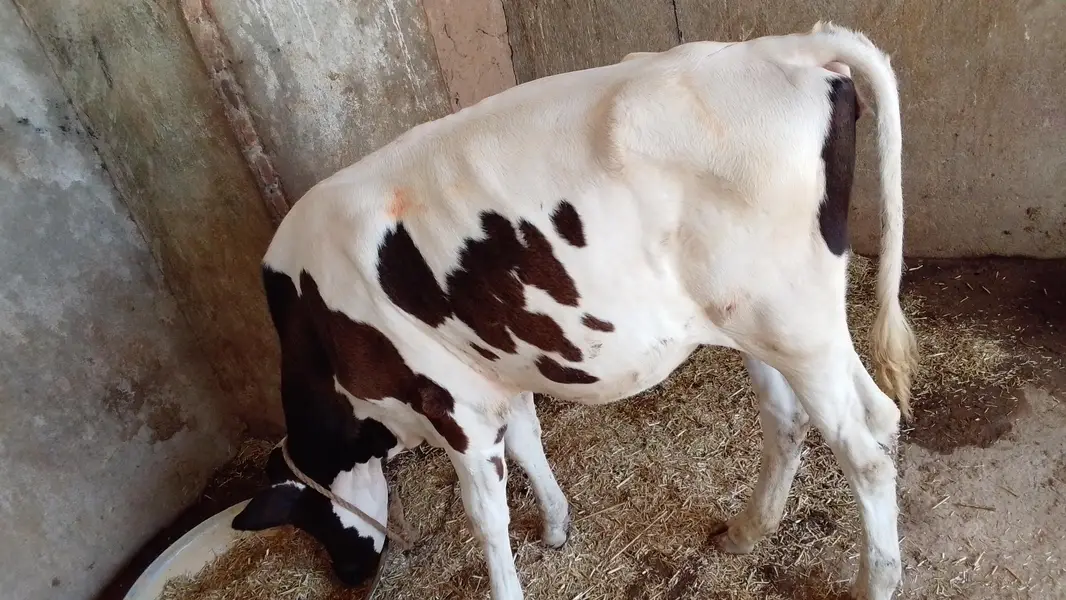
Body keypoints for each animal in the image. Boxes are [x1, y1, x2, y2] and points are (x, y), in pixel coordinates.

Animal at [231, 22, 917, 600]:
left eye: (313, 520)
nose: (350, 575)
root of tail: (791, 46)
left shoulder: (450, 400)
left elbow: (486, 514)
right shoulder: (497, 368)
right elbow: (529, 441)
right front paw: (557, 526)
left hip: (792, 321)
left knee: (864, 451)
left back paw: (875, 583)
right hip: (768, 322)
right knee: (821, 419)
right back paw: (750, 533)